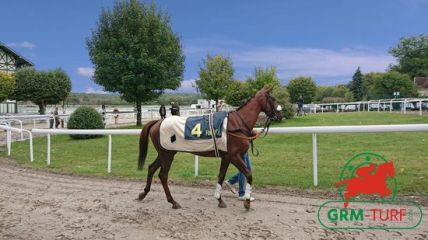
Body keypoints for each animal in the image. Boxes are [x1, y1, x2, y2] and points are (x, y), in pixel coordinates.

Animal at [139, 87, 282, 209]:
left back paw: (143, 194)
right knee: (163, 175)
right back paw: (173, 202)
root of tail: (158, 122)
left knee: (151, 168)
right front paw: (247, 202)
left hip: (164, 153)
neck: (237, 124)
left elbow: (221, 176)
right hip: (167, 154)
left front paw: (219, 199)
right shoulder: (234, 156)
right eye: (273, 99)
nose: (280, 115)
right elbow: (248, 174)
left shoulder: (227, 157)